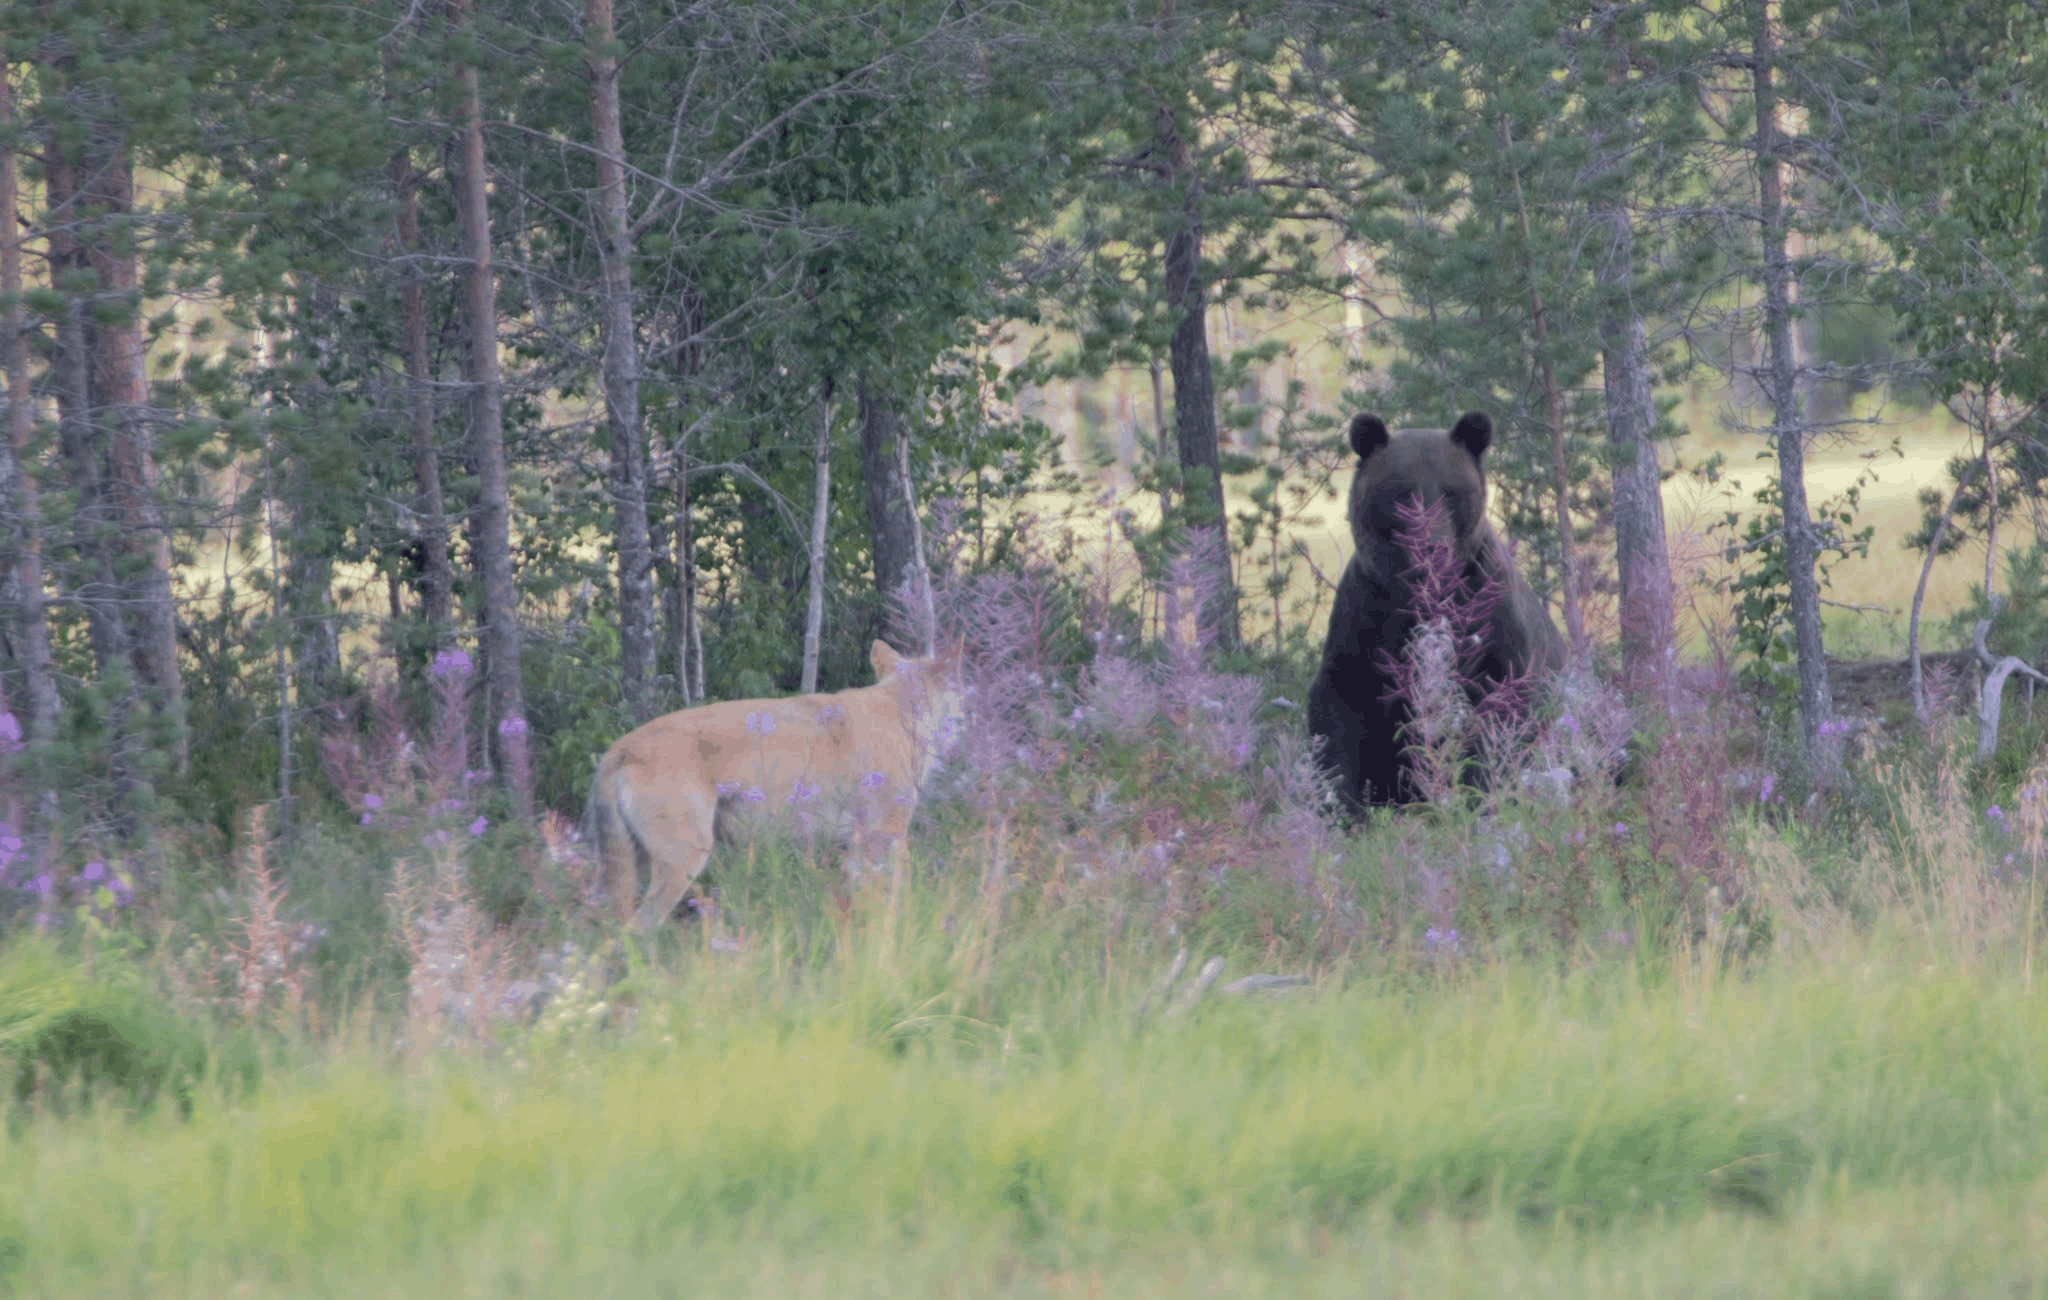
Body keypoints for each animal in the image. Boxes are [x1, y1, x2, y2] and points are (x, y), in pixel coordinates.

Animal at [587, 640, 966, 929]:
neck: (902, 714)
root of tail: (619, 748)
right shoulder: (885, 840)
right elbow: (896, 904)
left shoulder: (855, 851)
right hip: (684, 864)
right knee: (637, 930)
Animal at [1307, 410, 1565, 815]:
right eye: (1402, 491)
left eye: (1451, 491)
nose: (1431, 546)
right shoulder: (1365, 615)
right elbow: (1339, 707)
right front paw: (1342, 806)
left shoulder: (1490, 615)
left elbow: (1505, 700)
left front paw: (1476, 790)